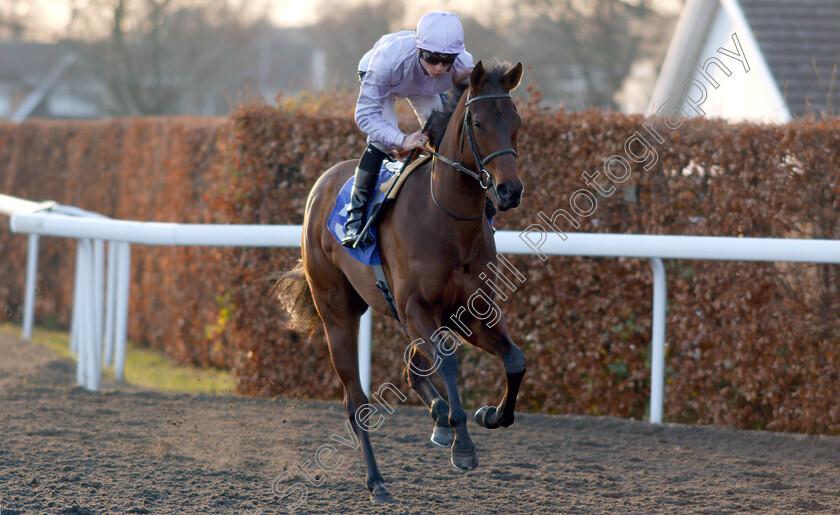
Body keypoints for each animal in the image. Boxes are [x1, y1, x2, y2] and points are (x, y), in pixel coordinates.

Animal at [276, 61, 524, 504]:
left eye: (517, 122)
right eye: (478, 122)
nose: (509, 190)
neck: (447, 220)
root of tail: (323, 183)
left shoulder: (473, 311)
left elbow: (514, 360)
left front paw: (491, 414)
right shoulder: (416, 309)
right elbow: (448, 363)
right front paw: (463, 446)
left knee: (413, 365)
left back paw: (437, 417)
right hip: (337, 315)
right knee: (355, 402)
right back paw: (377, 480)